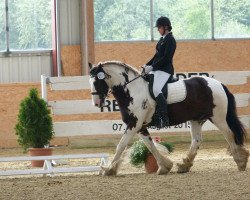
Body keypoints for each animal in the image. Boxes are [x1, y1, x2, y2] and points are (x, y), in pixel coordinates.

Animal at [88, 60, 248, 175]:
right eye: (90, 82)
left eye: (97, 81)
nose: (96, 103)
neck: (133, 90)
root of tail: (218, 84)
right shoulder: (140, 126)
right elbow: (150, 146)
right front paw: (165, 166)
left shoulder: (134, 124)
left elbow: (121, 145)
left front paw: (108, 169)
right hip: (197, 119)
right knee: (196, 140)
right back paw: (184, 165)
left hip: (218, 117)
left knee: (229, 134)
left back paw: (241, 162)